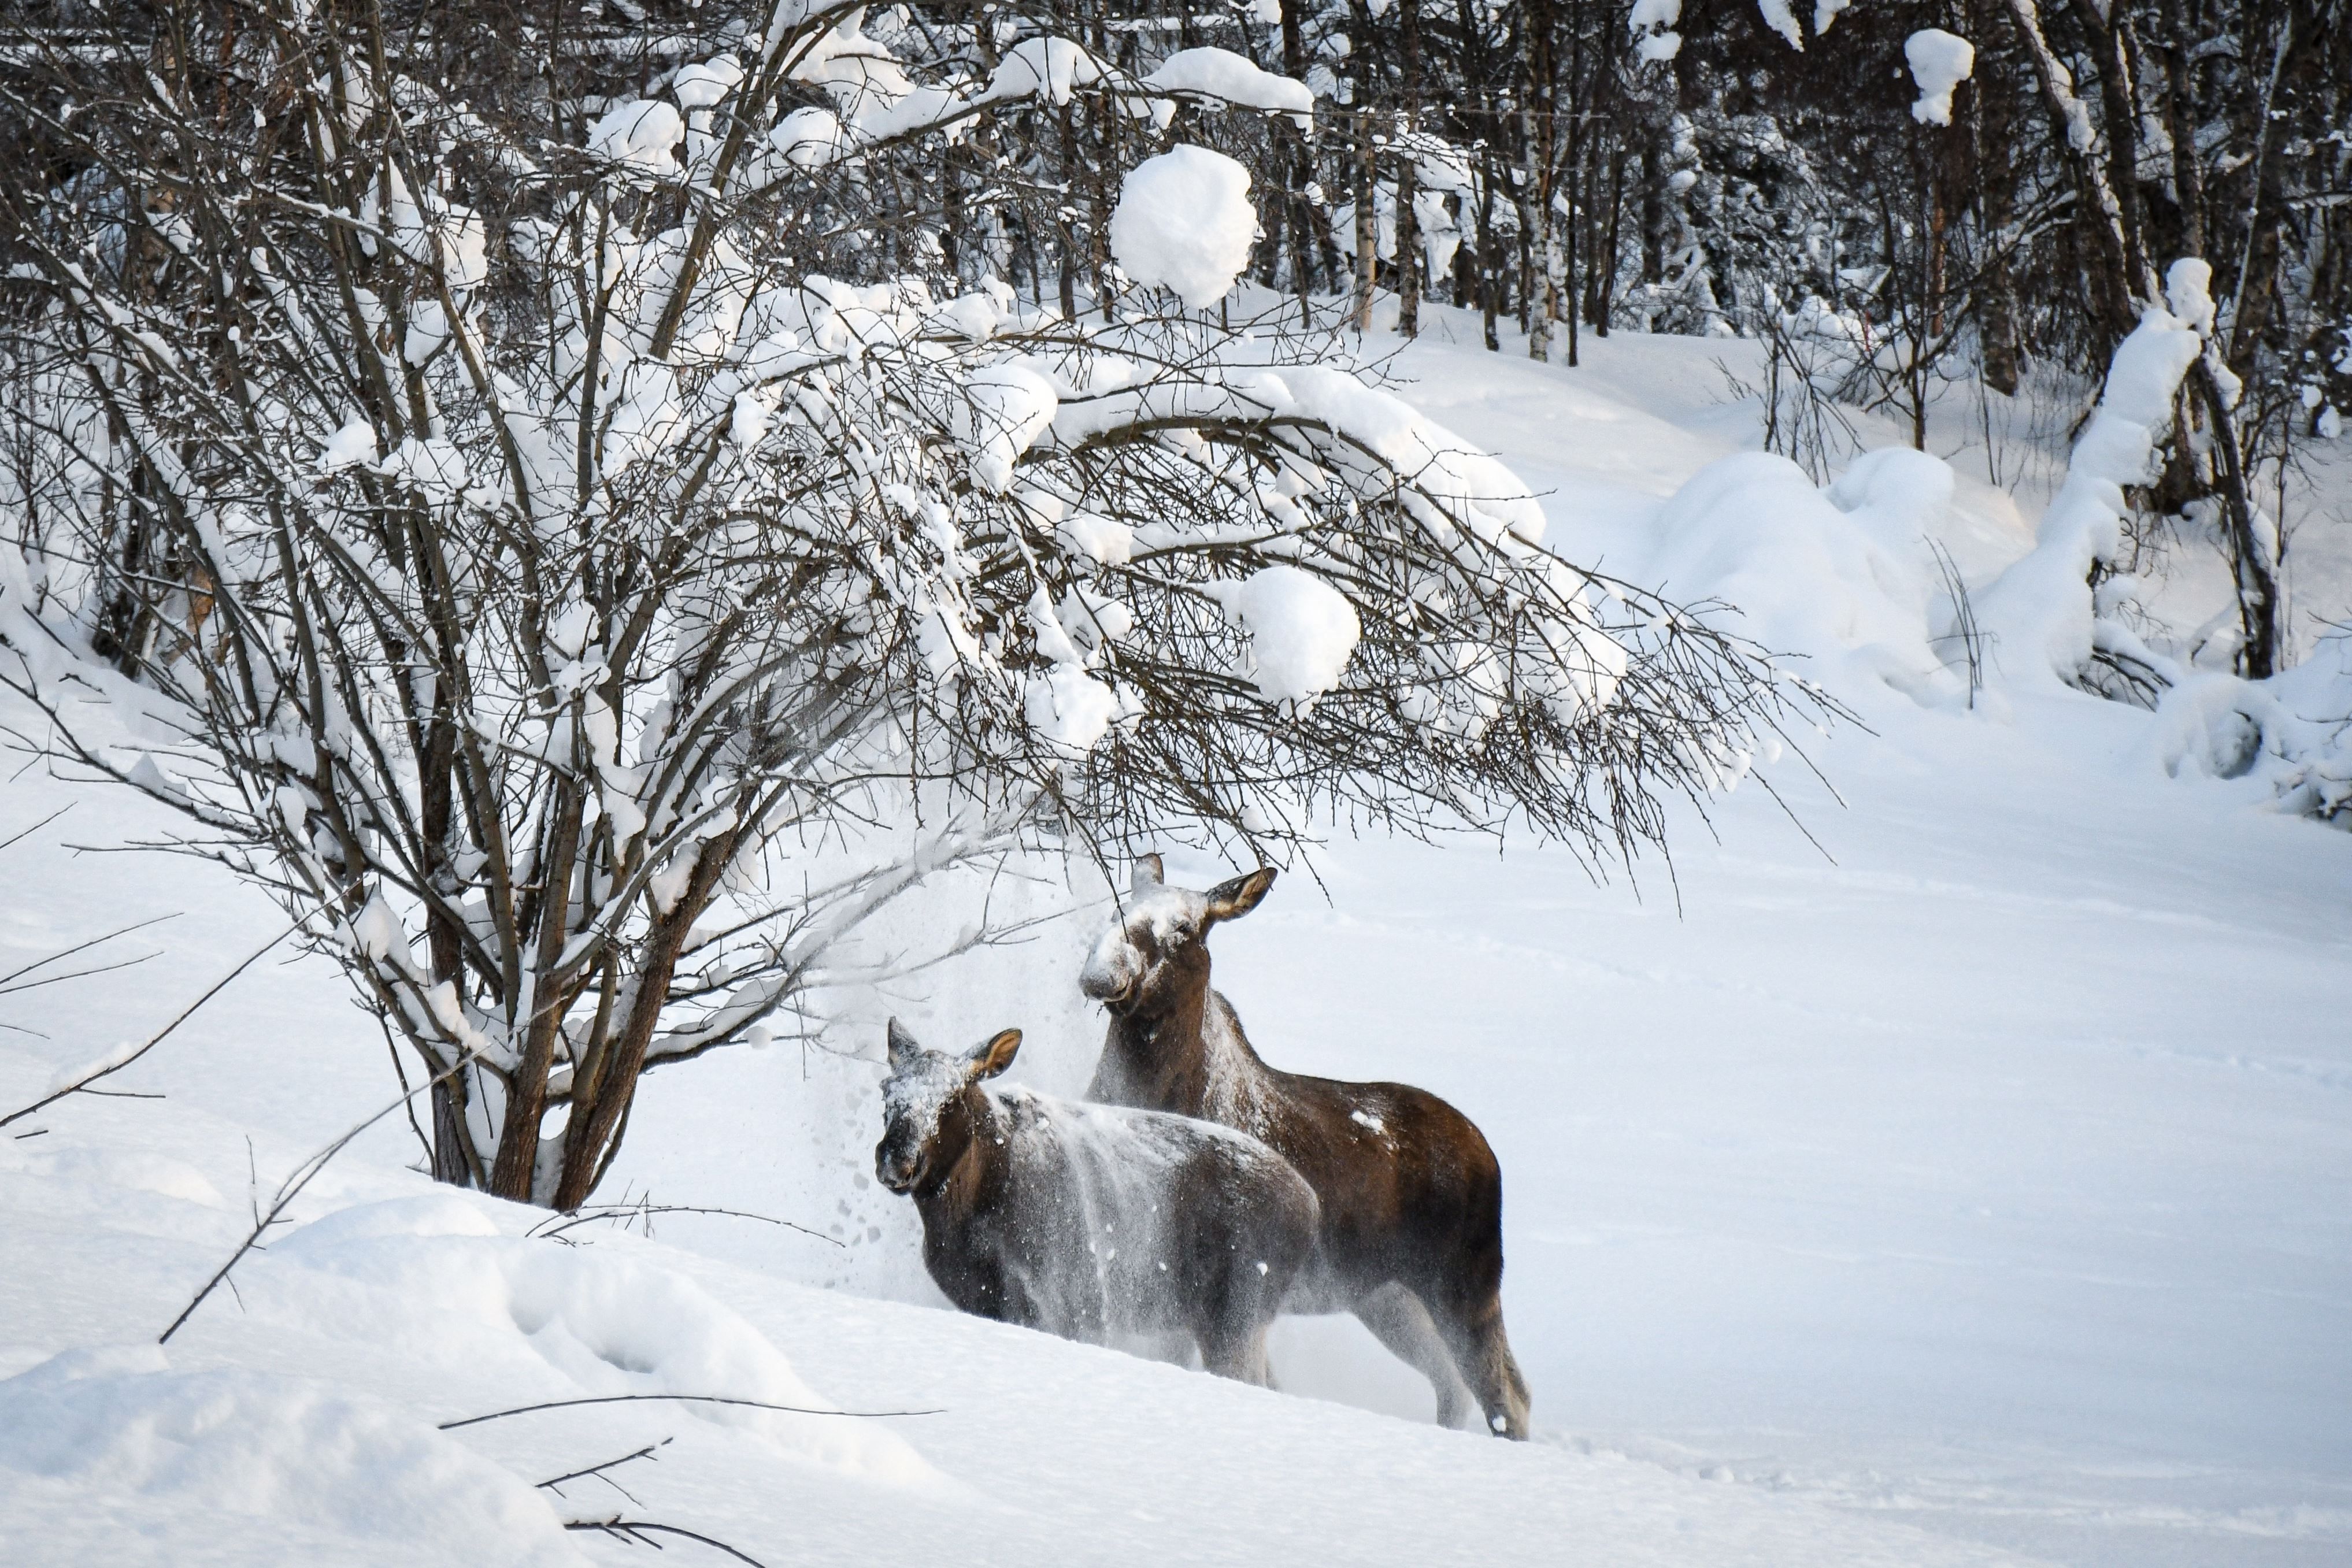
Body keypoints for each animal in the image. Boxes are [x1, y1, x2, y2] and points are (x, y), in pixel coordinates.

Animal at [873, 1018, 1319, 1385]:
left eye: (952, 1098)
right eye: (886, 1092)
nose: (896, 1159)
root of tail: (1310, 1204)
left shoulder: (1060, 1300)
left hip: (1236, 1312)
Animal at [1079, 857, 1533, 1438]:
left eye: (1184, 927)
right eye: (1121, 905)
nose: (1102, 971)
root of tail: (1488, 1154)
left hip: (1465, 1284)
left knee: (1506, 1395)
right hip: (1386, 1294)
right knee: (1455, 1384)